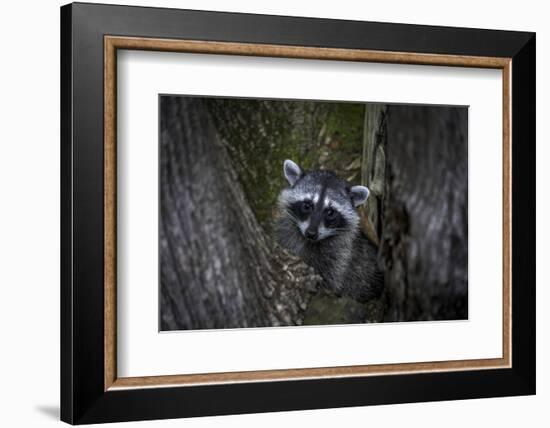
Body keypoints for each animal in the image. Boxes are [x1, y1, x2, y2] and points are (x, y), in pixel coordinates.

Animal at [274, 159, 384, 302]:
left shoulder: (341, 257)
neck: (310, 242)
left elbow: (331, 279)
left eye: (330, 212)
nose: (311, 234)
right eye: (307, 205)